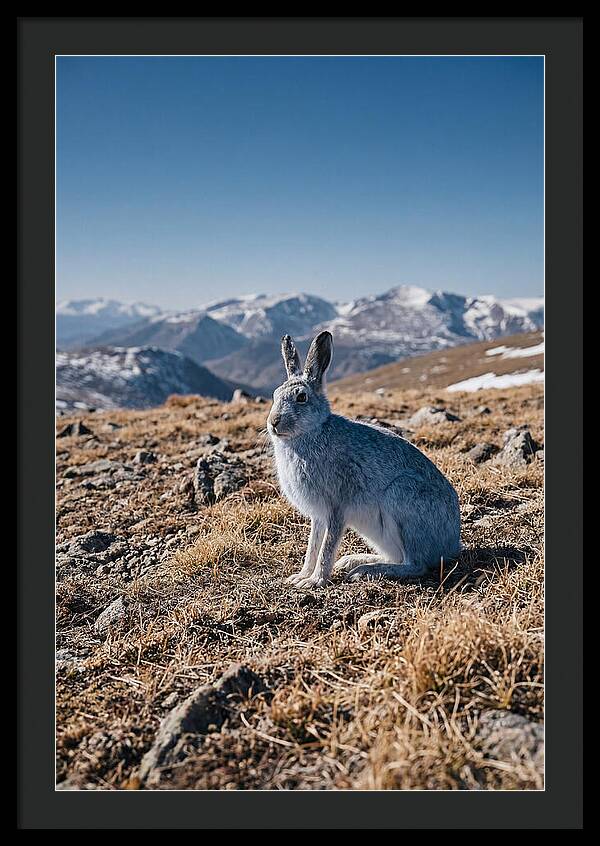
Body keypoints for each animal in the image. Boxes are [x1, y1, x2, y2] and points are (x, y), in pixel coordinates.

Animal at [267, 331, 461, 588]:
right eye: (275, 395)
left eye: (301, 397)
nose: (273, 422)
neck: (311, 432)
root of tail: (452, 545)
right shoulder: (319, 516)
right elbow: (313, 546)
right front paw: (300, 576)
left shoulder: (336, 506)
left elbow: (326, 547)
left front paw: (315, 581)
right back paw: (353, 561)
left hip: (402, 499)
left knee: (415, 564)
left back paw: (366, 570)